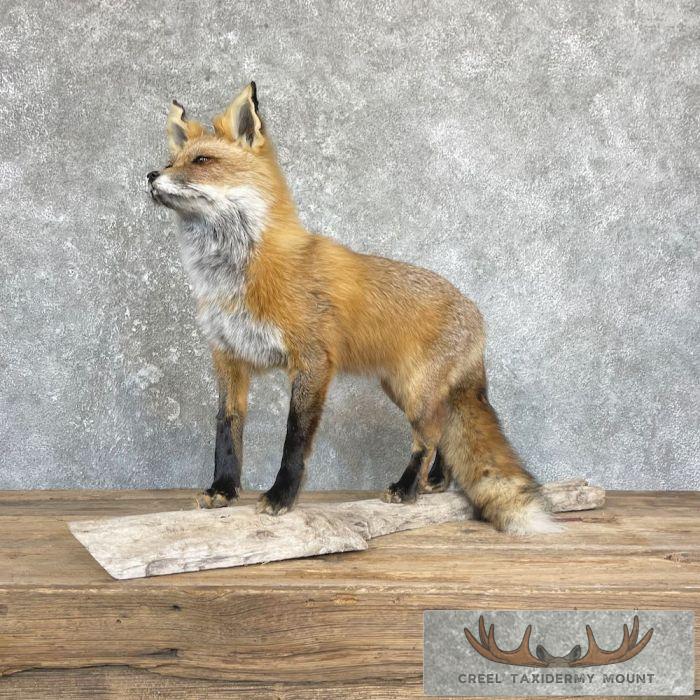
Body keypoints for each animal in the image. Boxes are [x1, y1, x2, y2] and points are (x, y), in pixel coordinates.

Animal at [147, 82, 561, 535]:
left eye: (202, 161)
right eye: (170, 161)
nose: (150, 176)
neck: (233, 276)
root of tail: (476, 312)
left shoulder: (312, 361)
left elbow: (295, 438)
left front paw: (281, 497)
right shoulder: (229, 358)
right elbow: (227, 429)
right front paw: (223, 490)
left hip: (415, 392)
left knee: (429, 437)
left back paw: (408, 489)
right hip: (402, 389)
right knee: (442, 435)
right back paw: (434, 483)